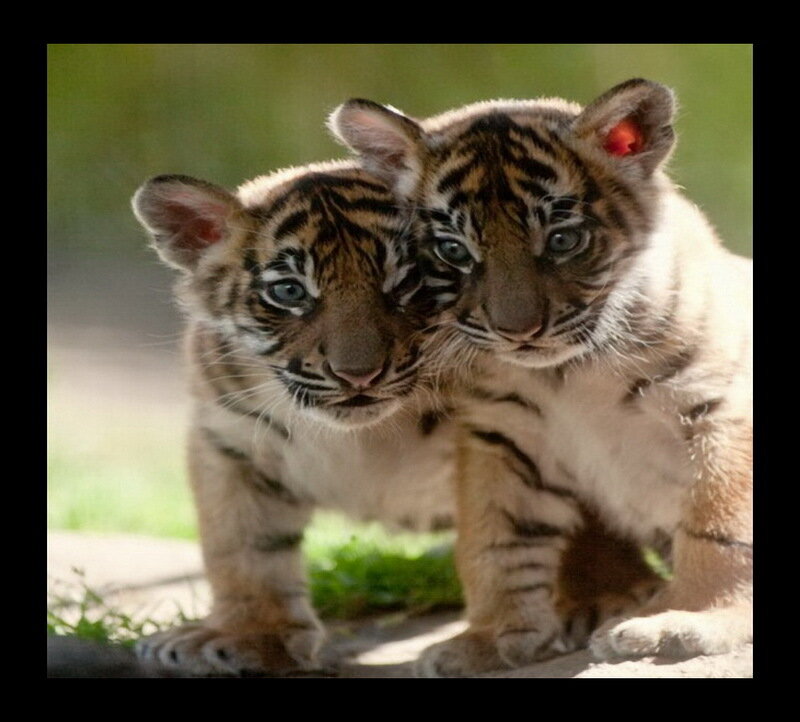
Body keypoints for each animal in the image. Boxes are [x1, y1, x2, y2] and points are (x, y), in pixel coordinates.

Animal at [131, 159, 659, 677]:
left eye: (406, 284)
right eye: (290, 291)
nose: (357, 374)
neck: (363, 436)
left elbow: (576, 517)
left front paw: (602, 597)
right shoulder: (229, 443)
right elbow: (241, 547)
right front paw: (245, 635)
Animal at [329, 78, 753, 676]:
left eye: (562, 240)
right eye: (453, 249)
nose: (518, 331)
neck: (572, 373)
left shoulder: (717, 408)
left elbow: (718, 526)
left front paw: (690, 619)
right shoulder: (502, 433)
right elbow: (496, 537)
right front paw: (489, 636)